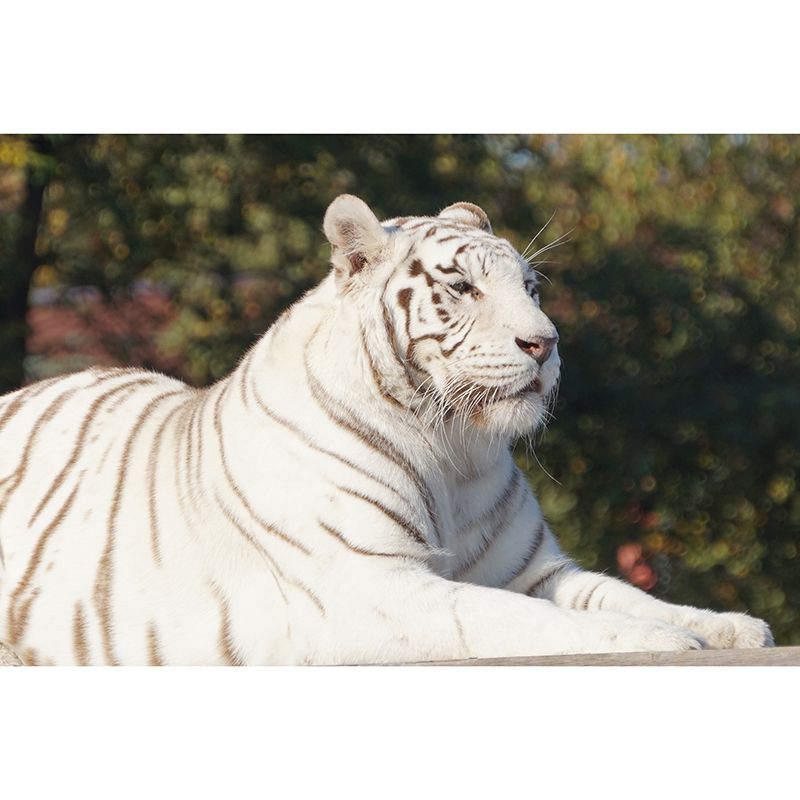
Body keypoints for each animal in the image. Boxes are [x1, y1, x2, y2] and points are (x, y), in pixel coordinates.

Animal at [0, 194, 773, 665]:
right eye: (463, 288)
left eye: (531, 288)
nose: (546, 344)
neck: (453, 450)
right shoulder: (373, 586)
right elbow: (532, 621)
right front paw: (661, 638)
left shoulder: (534, 571)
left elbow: (622, 591)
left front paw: (727, 624)